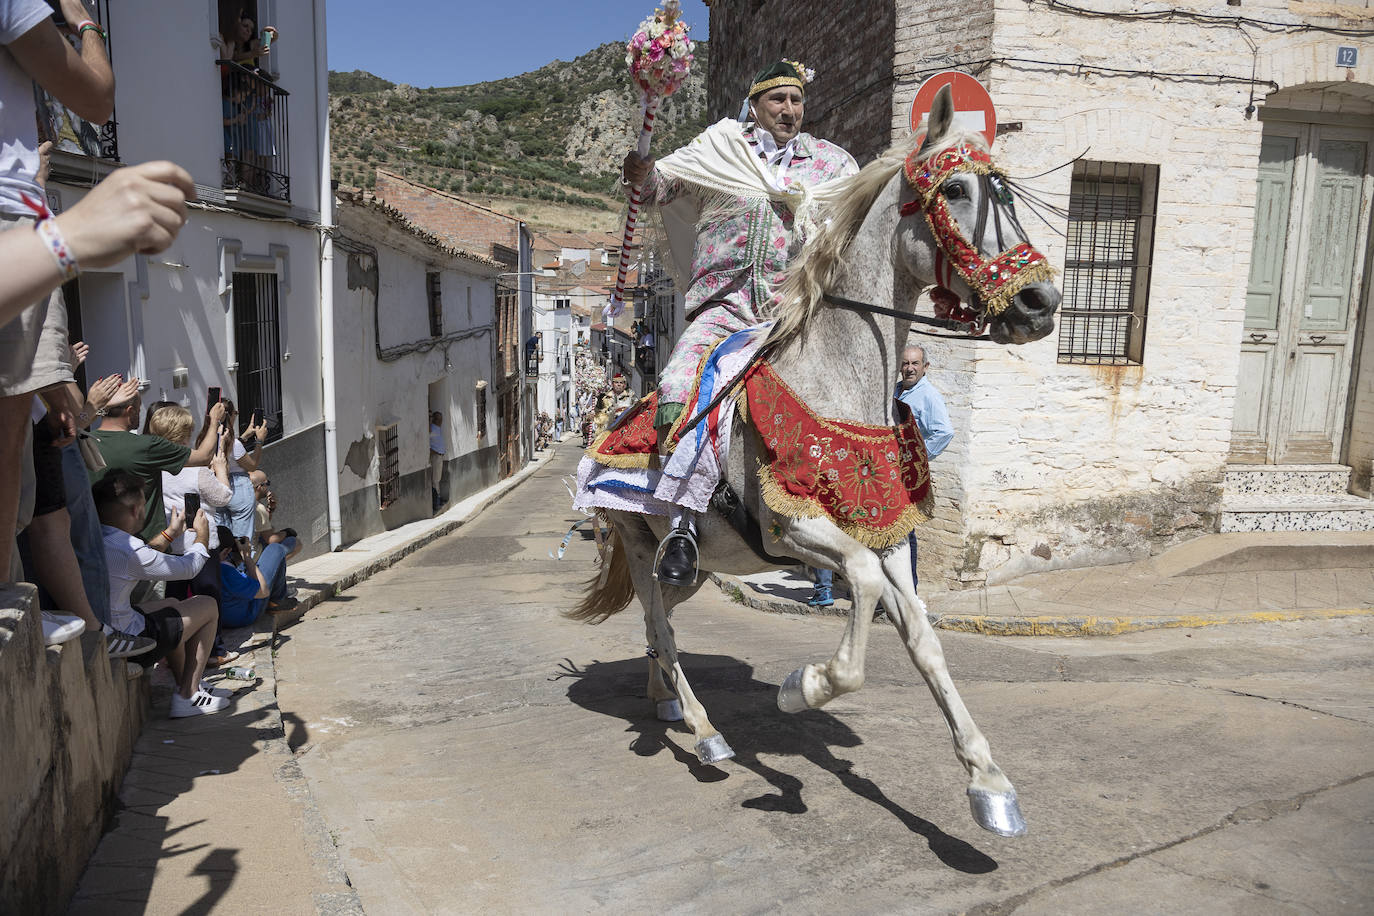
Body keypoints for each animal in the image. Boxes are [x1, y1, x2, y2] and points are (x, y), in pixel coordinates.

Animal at [563, 89, 1055, 840]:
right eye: (954, 190)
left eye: (1003, 191)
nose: (1040, 303)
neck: (836, 383)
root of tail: (608, 423)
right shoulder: (799, 530)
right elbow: (861, 595)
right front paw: (806, 687)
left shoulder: (886, 538)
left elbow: (923, 637)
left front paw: (989, 782)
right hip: (645, 545)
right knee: (662, 624)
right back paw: (704, 730)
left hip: (697, 571)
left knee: (659, 622)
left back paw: (666, 701)